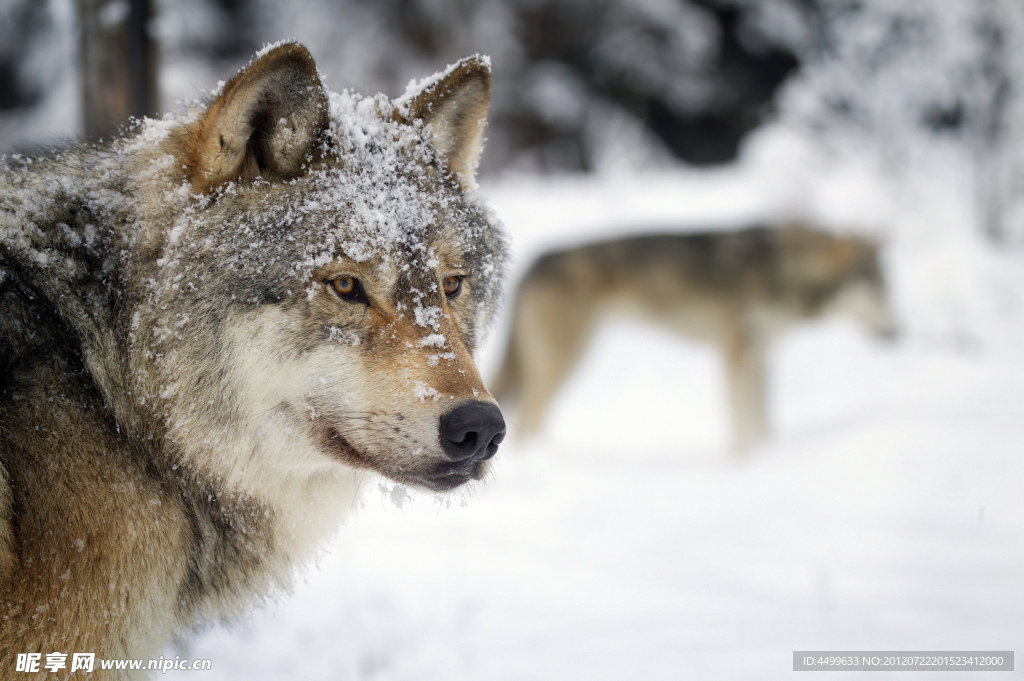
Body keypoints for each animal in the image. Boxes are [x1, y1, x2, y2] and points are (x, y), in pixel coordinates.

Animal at [491, 225, 892, 454]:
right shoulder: (736, 353)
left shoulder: (760, 354)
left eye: (887, 289)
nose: (898, 333)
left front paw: (768, 454)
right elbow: (740, 419)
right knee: (528, 421)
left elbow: (763, 419)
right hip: (566, 361)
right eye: (875, 289)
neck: (784, 268)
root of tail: (535, 263)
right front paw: (743, 462)